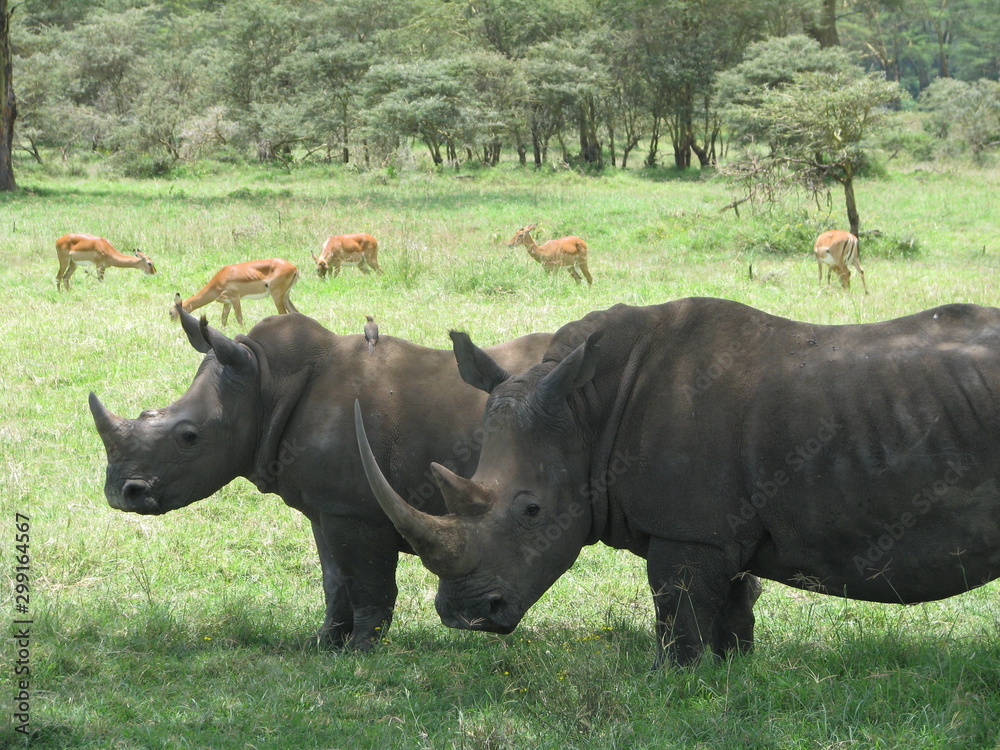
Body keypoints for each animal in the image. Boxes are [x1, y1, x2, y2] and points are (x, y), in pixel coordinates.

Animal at [89, 306, 551, 650]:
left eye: (188, 437)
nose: (121, 493)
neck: (265, 383)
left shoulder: (356, 510)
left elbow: (367, 582)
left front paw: (361, 649)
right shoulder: (327, 507)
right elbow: (334, 579)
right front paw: (323, 643)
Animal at [356, 297, 1000, 667]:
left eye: (532, 511)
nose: (463, 617)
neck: (589, 410)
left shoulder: (690, 529)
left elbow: (678, 607)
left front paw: (675, 680)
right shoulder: (720, 526)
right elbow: (731, 607)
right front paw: (732, 674)